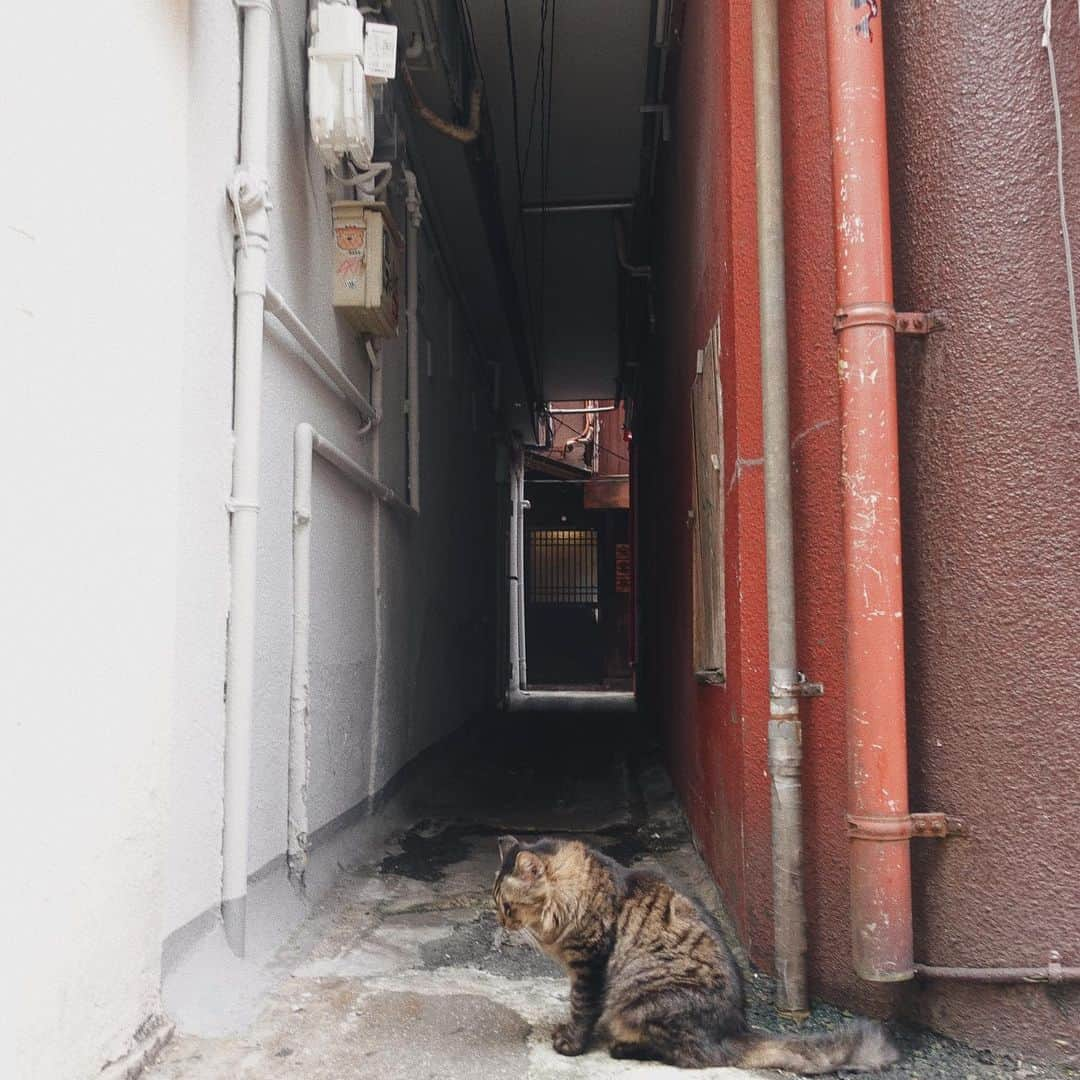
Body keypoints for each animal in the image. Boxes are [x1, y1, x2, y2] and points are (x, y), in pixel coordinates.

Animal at [494, 833, 898, 1071]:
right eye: (497, 905)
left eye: (508, 907)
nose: (501, 921)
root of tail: (733, 1031)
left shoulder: (589, 963)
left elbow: (582, 1008)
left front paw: (569, 1043)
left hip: (643, 999)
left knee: (693, 1058)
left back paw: (624, 1048)